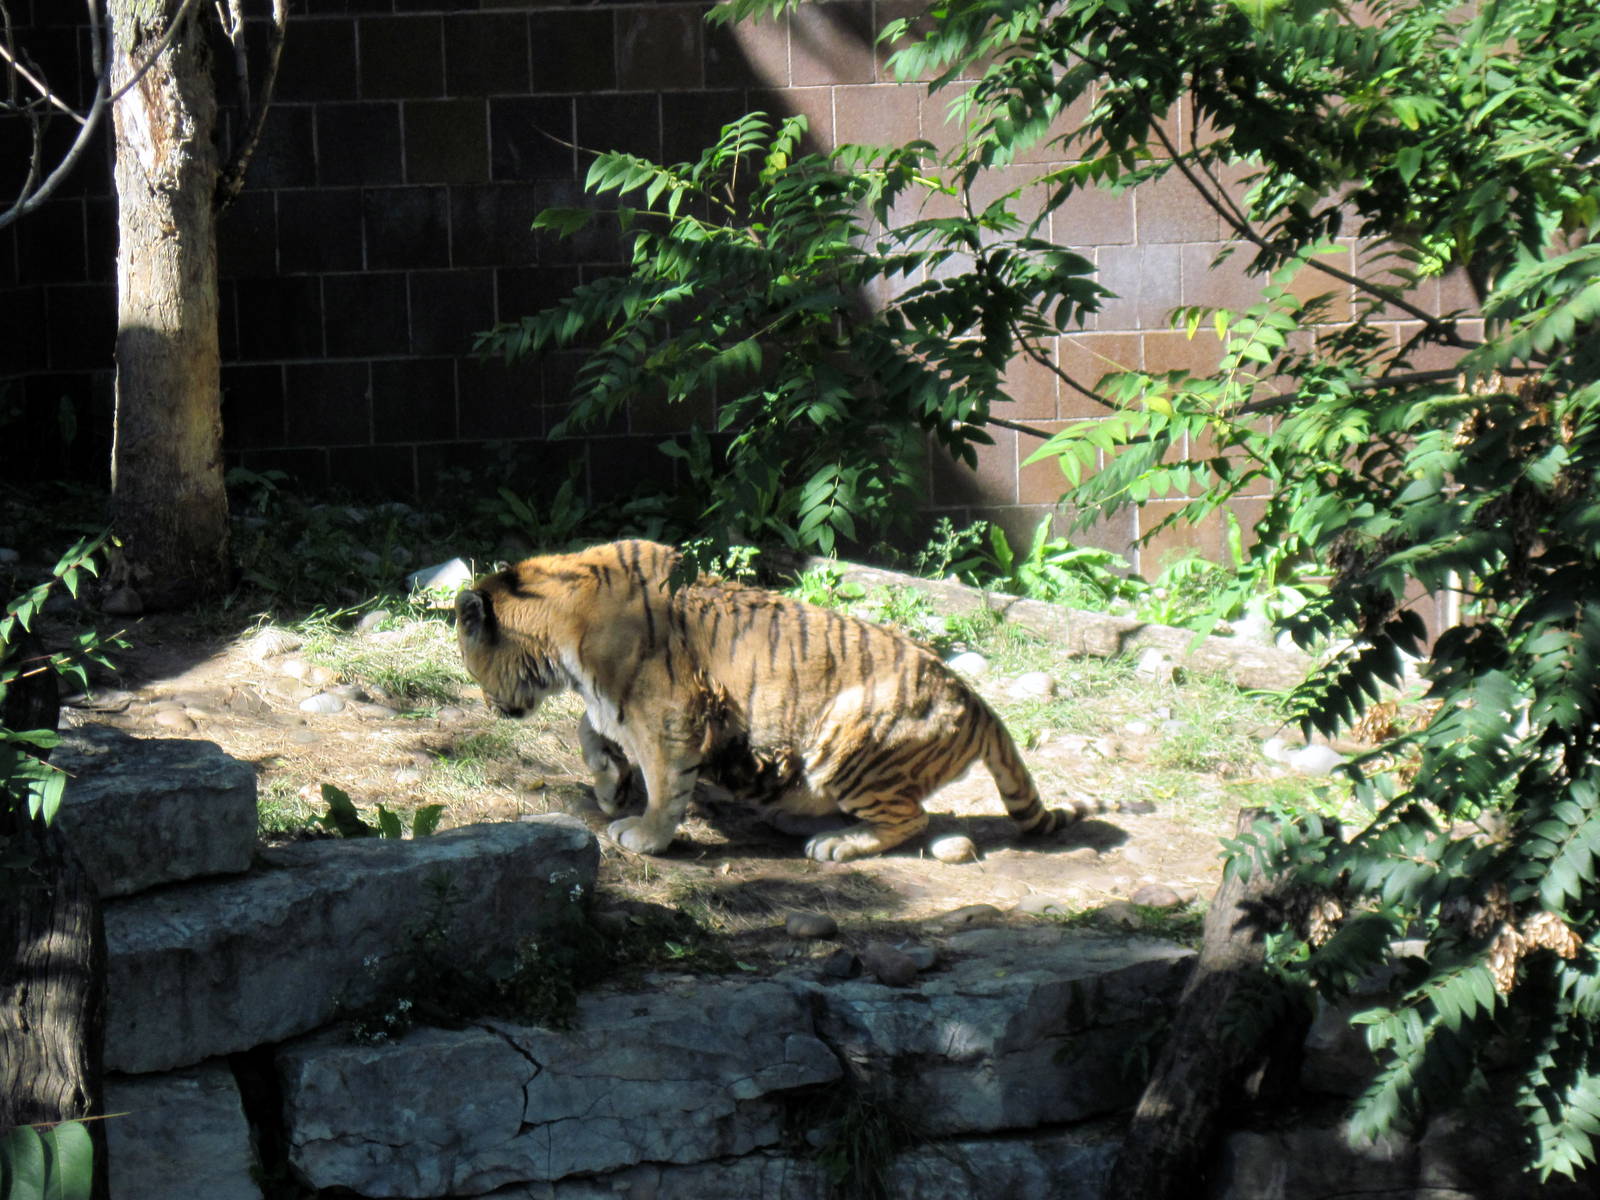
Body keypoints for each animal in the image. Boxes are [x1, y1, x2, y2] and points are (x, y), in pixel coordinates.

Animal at [455, 539, 1134, 862]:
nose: (492, 708)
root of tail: (979, 701)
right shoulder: (615, 704)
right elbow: (588, 729)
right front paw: (606, 784)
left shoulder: (671, 714)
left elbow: (663, 782)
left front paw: (645, 833)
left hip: (848, 742)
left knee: (911, 819)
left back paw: (834, 843)